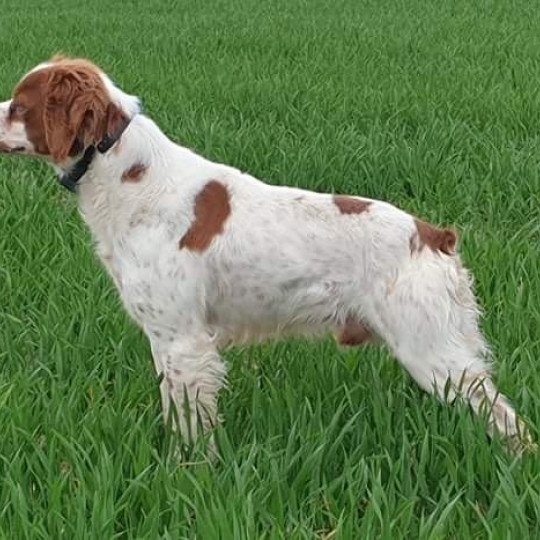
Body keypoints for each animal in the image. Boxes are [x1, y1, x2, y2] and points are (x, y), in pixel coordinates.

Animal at [0, 57, 532, 454]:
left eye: (19, 105)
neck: (129, 177)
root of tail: (433, 235)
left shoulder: (182, 341)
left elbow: (189, 430)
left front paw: (186, 476)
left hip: (435, 355)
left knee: (511, 423)